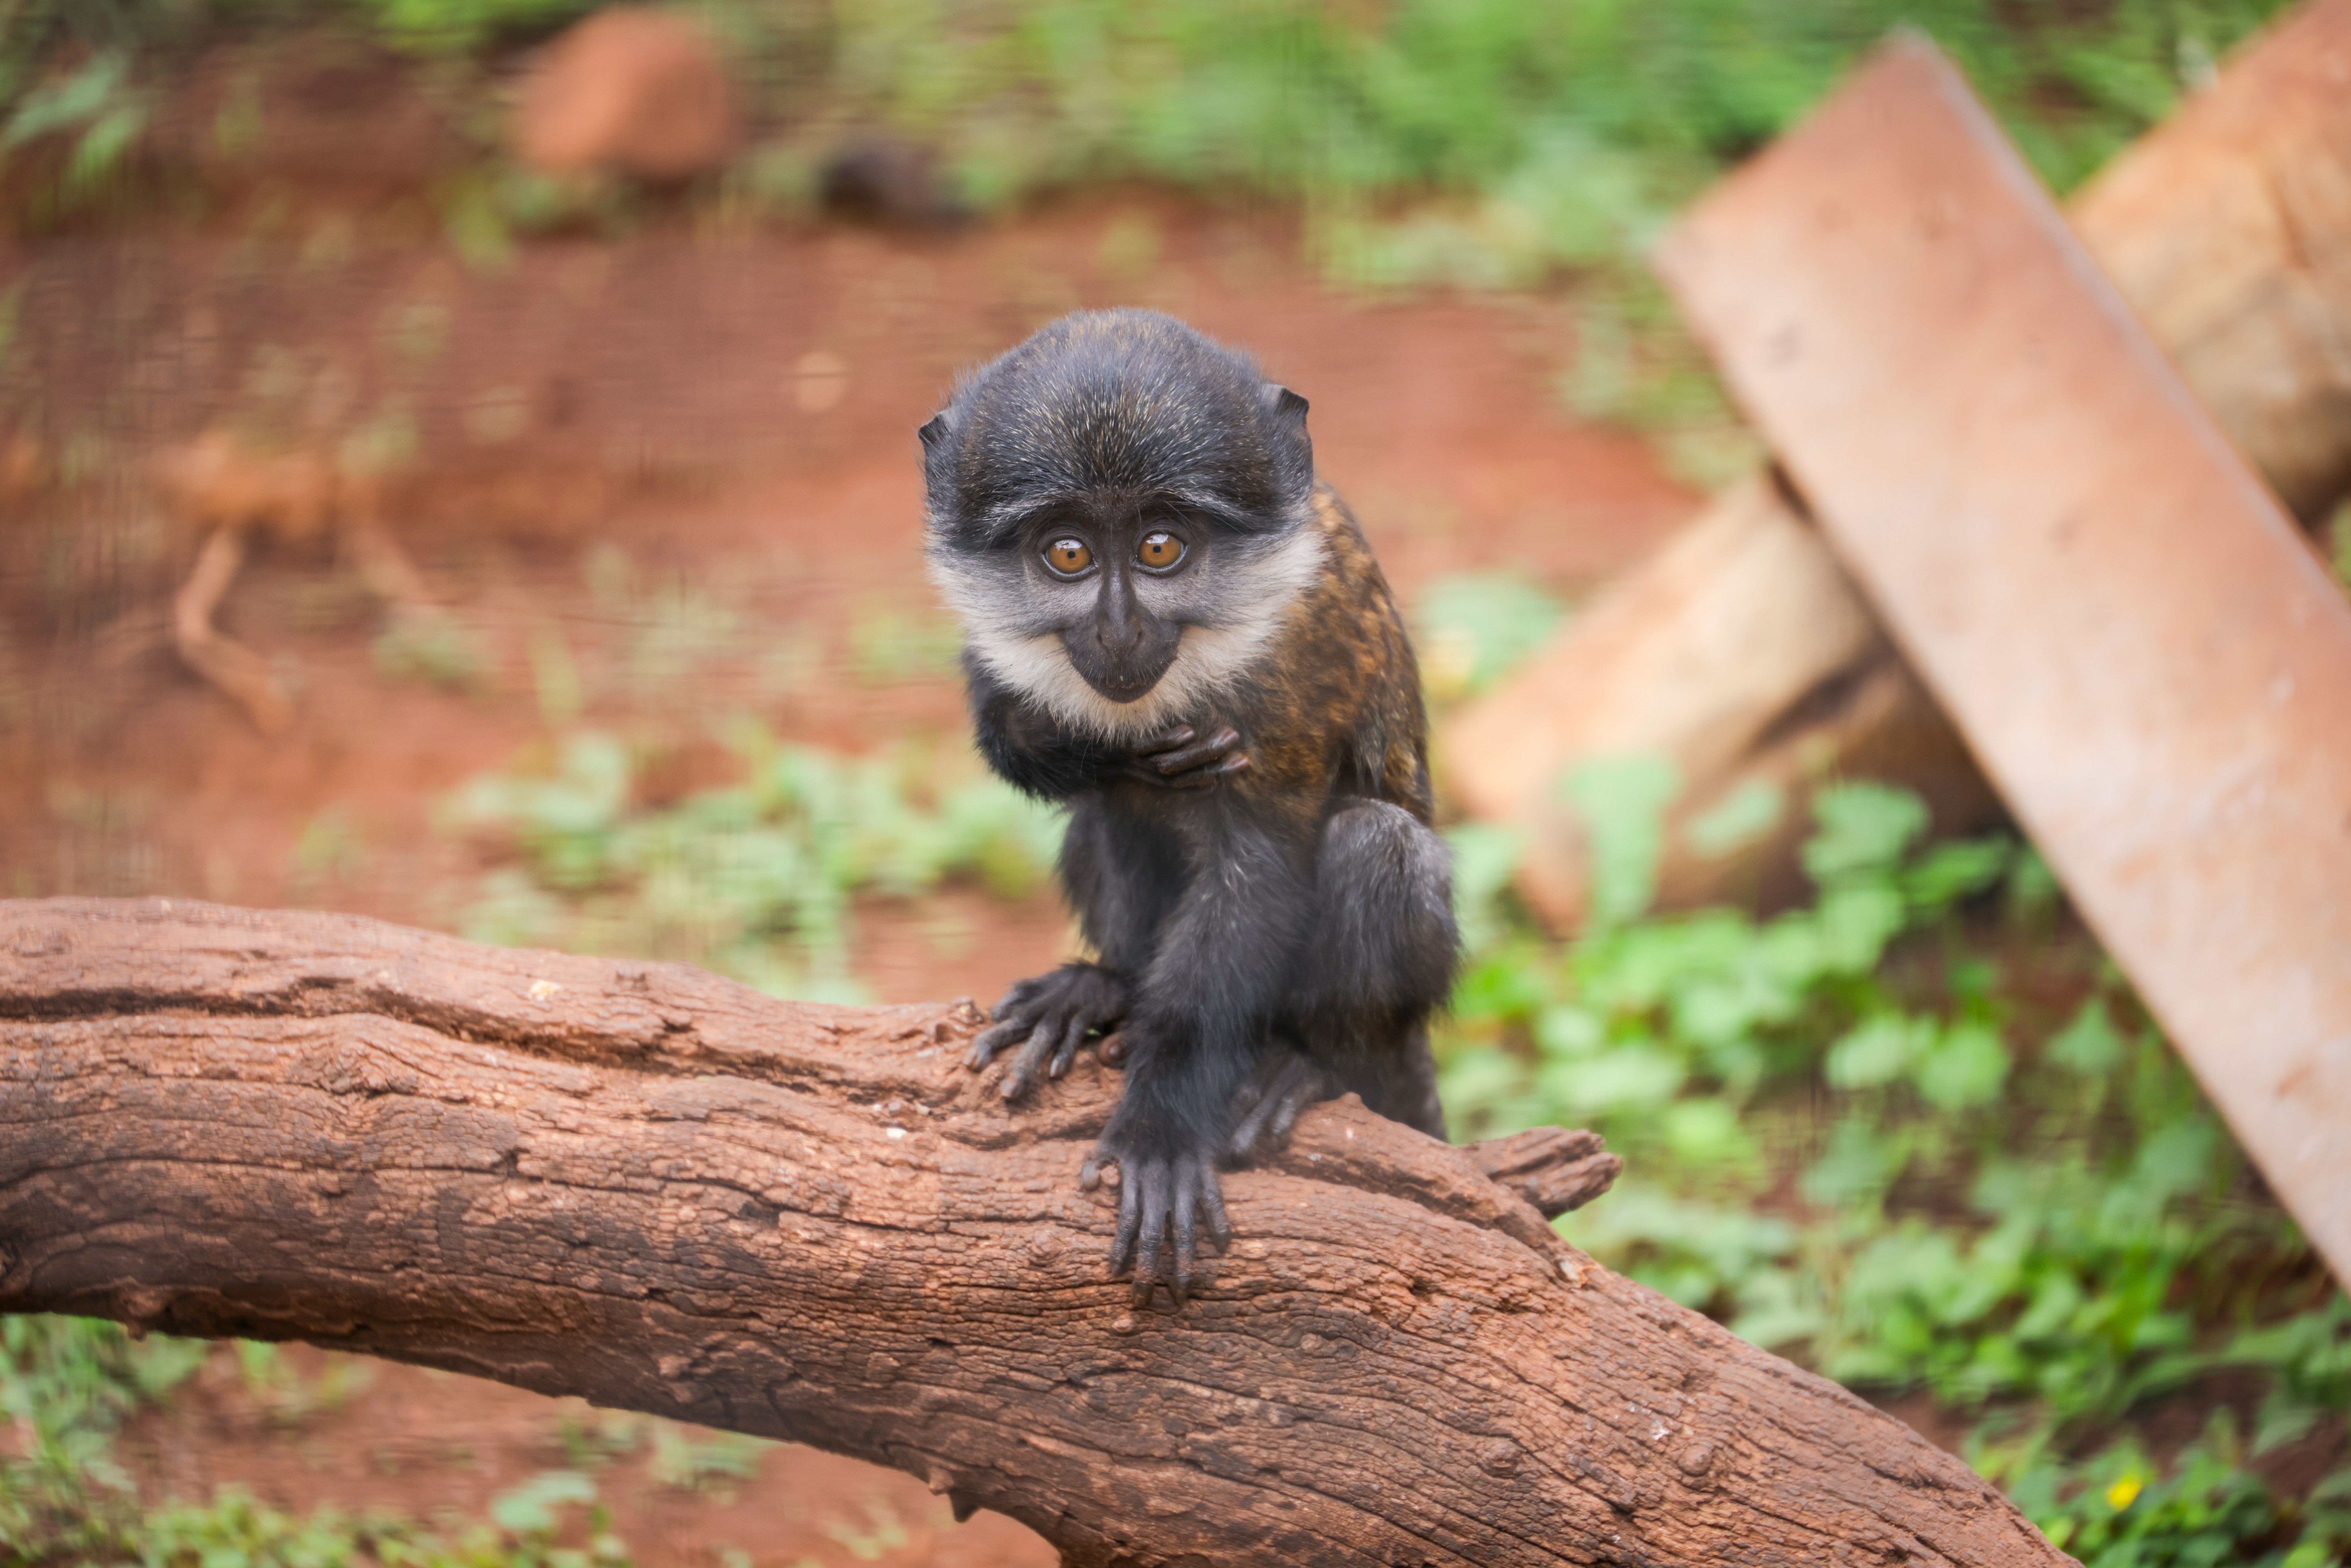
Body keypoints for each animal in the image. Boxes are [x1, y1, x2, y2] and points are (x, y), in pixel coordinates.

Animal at [920, 308, 1459, 1305]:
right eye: (1067, 554)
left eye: (1161, 548)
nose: (1120, 630)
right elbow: (1012, 723)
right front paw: (1101, 750)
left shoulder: (1286, 677)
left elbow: (1256, 875)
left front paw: (1160, 1133)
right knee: (1104, 815)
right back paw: (1106, 989)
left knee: (1378, 845)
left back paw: (1310, 1066)